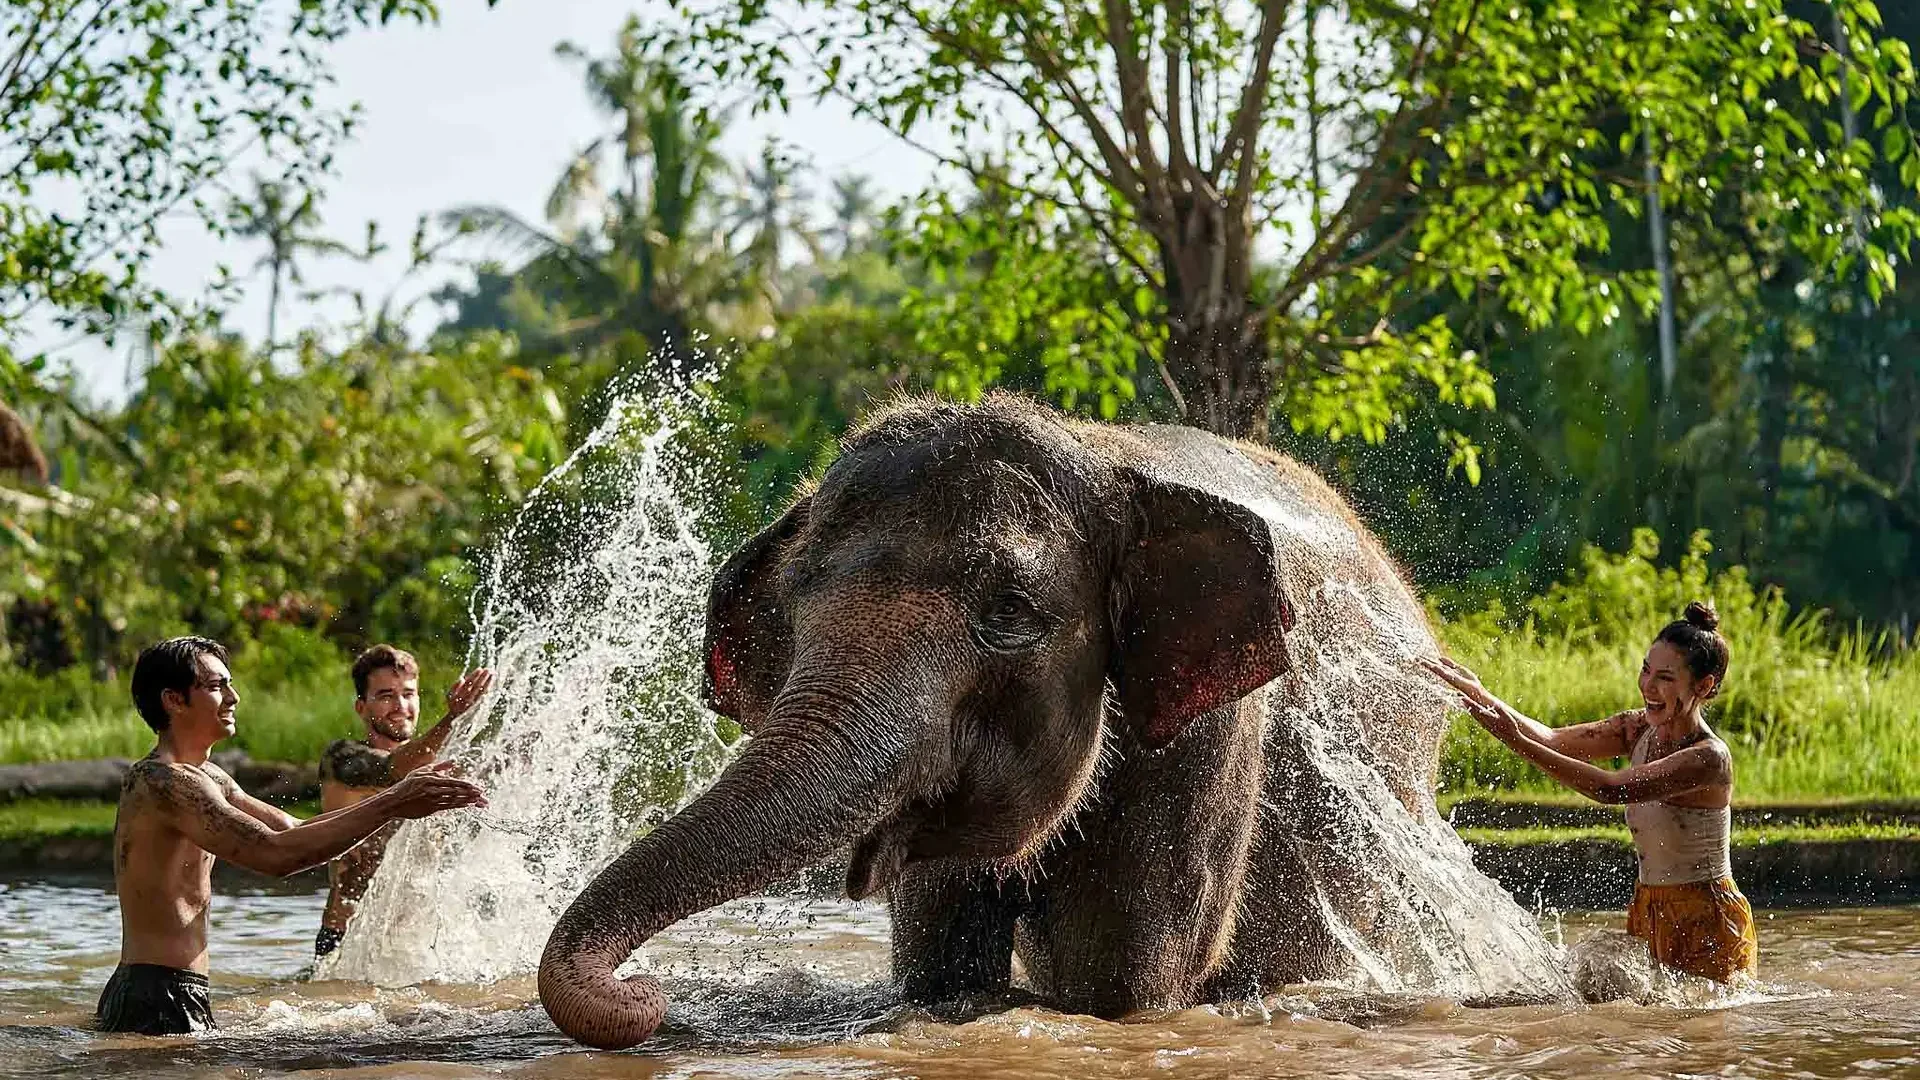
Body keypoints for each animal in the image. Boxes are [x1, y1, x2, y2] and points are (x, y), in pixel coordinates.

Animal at [533, 388, 1551, 1045]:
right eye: (795, 603)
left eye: (1011, 614)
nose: (650, 994)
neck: (1106, 455)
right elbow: (942, 967)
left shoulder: (1214, 734)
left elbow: (1126, 978)